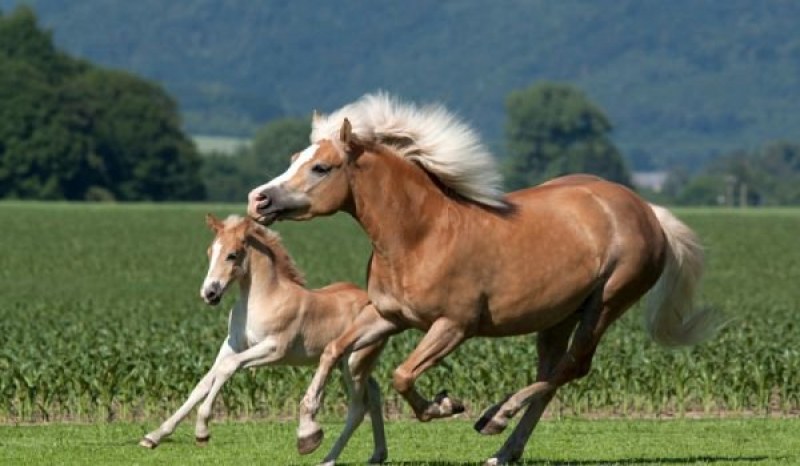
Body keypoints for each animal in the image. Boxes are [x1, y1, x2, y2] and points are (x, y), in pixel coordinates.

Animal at [140, 215, 388, 466]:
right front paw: (153, 436)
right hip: (350, 364)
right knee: (375, 393)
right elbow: (204, 382)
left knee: (358, 409)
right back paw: (377, 454)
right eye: (210, 251)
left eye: (232, 254)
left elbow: (227, 368)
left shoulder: (274, 349)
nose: (209, 293)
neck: (263, 300)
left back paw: (326, 456)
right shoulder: (232, 345)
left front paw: (202, 430)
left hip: (353, 363)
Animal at [245, 93, 720, 464]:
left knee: (573, 367)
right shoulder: (387, 316)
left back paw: (495, 417)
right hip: (557, 317)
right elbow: (333, 351)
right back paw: (504, 450)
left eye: (321, 168)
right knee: (555, 371)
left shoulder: (454, 326)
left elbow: (402, 375)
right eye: (294, 160)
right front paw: (307, 433)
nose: (258, 199)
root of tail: (646, 210)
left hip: (605, 304)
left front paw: (446, 404)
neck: (420, 234)